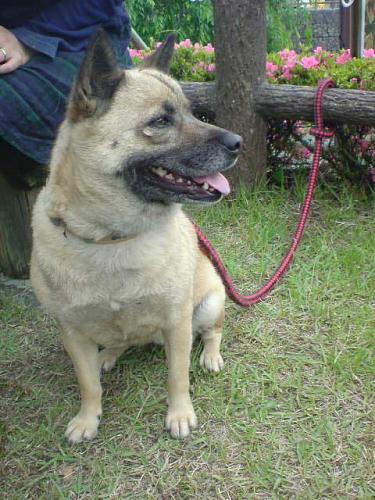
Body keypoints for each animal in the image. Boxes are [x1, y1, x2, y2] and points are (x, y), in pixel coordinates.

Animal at [29, 31, 241, 444]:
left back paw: (210, 355)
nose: (238, 142)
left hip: (208, 304)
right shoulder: (72, 333)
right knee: (120, 341)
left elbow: (177, 376)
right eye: (160, 121)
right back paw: (108, 355)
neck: (112, 238)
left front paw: (180, 414)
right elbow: (87, 384)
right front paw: (88, 418)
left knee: (212, 332)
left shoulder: (177, 322)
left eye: (192, 113)